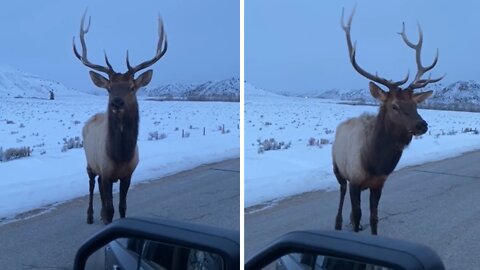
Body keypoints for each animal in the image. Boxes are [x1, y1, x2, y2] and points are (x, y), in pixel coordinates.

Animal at [72, 11, 167, 224]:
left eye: (132, 87)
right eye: (109, 88)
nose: (116, 103)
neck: (121, 155)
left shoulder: (128, 174)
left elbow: (122, 207)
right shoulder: (106, 170)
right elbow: (110, 209)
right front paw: (105, 218)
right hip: (90, 162)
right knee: (91, 184)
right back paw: (90, 215)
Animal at [332, 8, 444, 234]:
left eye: (416, 105)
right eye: (394, 106)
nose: (422, 125)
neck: (374, 163)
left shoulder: (379, 183)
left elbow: (374, 218)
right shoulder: (355, 180)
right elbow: (358, 215)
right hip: (337, 169)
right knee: (341, 193)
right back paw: (338, 223)